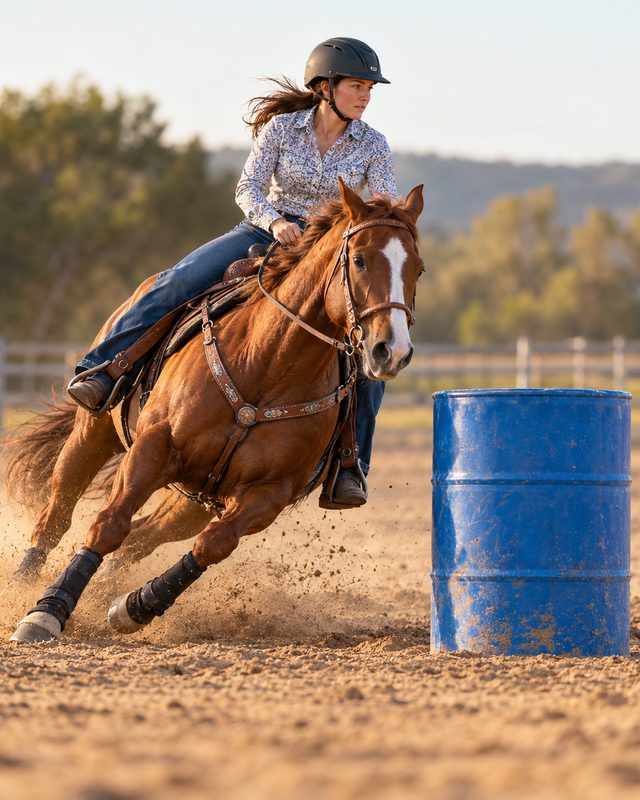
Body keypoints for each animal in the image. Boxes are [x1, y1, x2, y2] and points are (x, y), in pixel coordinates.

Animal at [6, 179, 424, 644]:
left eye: (417, 269)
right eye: (359, 259)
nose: (392, 351)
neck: (266, 365)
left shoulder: (269, 492)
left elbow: (212, 545)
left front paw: (136, 607)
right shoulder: (154, 448)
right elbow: (108, 524)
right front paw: (46, 612)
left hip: (193, 499)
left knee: (142, 537)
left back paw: (109, 596)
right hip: (94, 432)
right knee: (58, 511)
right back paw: (23, 586)